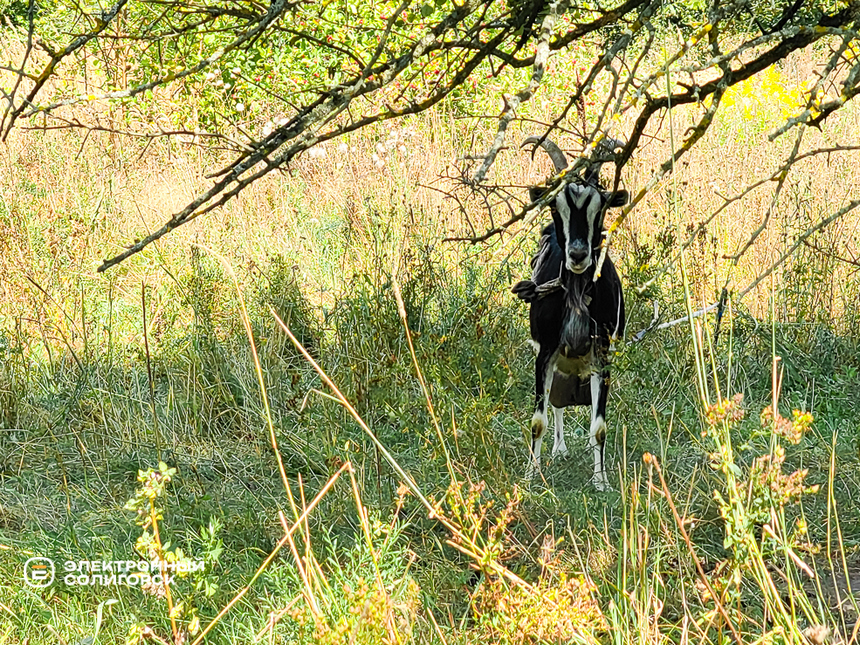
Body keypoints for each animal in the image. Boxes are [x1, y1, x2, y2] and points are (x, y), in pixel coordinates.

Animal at [512, 136, 628, 488]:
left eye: (601, 207)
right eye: (554, 204)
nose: (577, 254)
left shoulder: (602, 354)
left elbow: (599, 427)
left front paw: (601, 482)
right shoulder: (545, 352)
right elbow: (538, 420)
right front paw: (530, 477)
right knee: (556, 405)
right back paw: (559, 448)